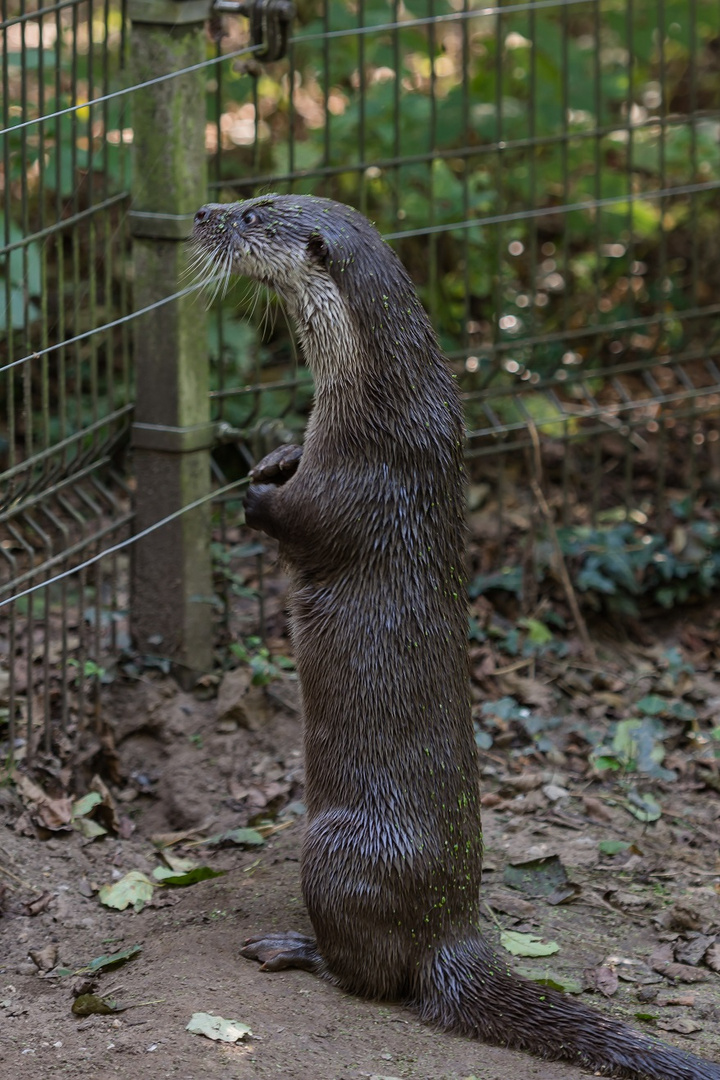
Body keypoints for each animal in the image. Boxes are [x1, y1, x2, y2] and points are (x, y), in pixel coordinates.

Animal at [193, 196, 720, 1080]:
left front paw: (256, 493)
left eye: (255, 216)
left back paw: (296, 948)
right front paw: (271, 455)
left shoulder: (360, 473)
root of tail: (451, 930)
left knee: (373, 976)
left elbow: (302, 519)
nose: (203, 211)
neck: (375, 398)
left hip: (332, 850)